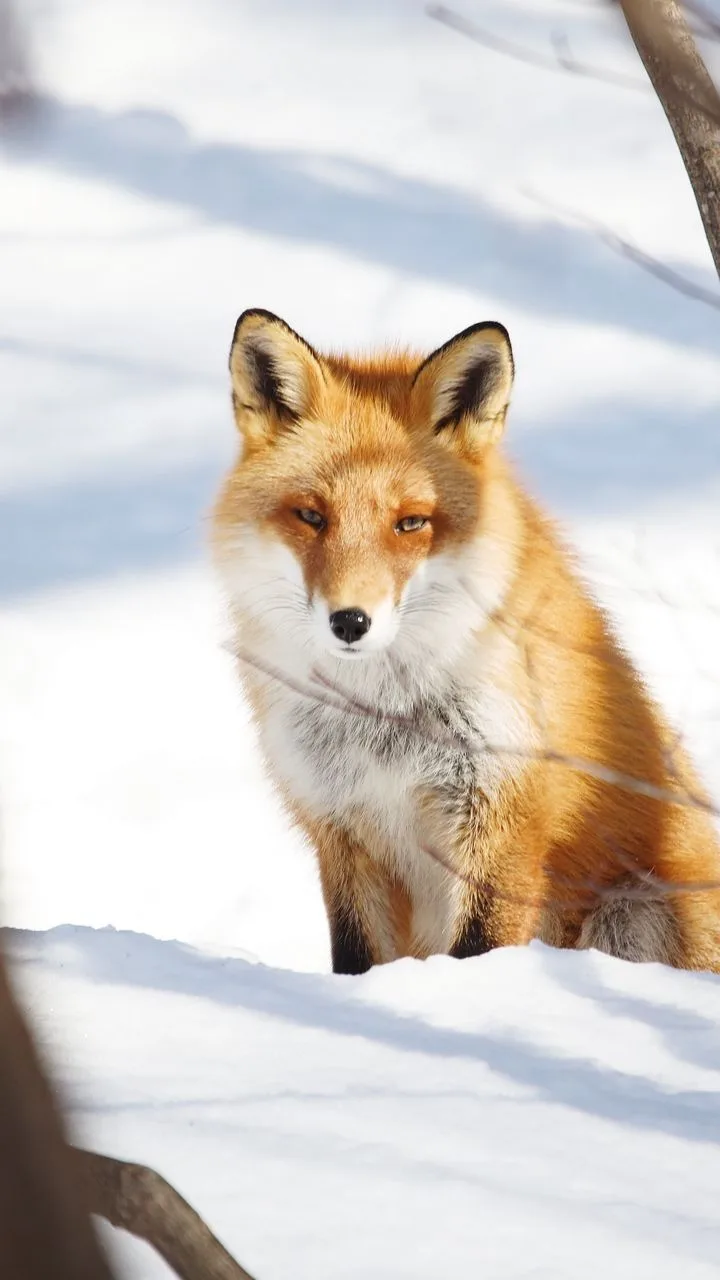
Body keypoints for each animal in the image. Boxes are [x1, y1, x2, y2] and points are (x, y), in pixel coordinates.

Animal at [212, 307, 720, 975]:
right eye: (312, 516)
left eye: (411, 522)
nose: (350, 621)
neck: (385, 719)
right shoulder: (341, 826)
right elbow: (356, 958)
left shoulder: (501, 823)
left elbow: (479, 949)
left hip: (633, 912)